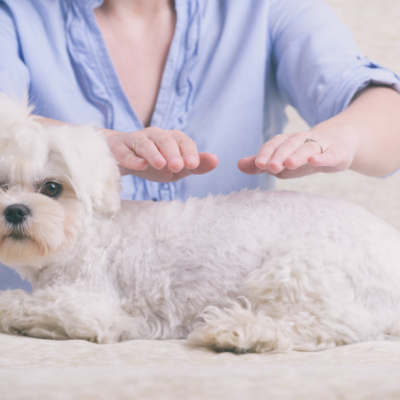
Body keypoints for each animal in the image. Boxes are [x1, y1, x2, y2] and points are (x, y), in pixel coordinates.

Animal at [0, 93, 400, 354]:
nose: (15, 210)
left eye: (52, 188)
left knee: (325, 325)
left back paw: (239, 331)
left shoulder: (90, 309)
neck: (87, 238)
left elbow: (22, 304)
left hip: (296, 270)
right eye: (2, 186)